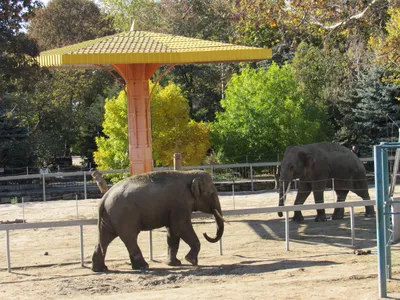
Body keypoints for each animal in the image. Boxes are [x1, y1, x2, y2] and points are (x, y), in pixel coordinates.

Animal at [92, 169, 225, 272]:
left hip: (109, 217)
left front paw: (174, 263)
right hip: (124, 216)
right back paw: (143, 267)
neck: (189, 173)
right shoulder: (180, 203)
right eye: (212, 193)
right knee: (130, 238)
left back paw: (100, 269)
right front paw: (191, 261)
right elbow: (181, 227)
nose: (205, 233)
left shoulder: (174, 208)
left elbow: (172, 232)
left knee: (104, 238)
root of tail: (104, 197)